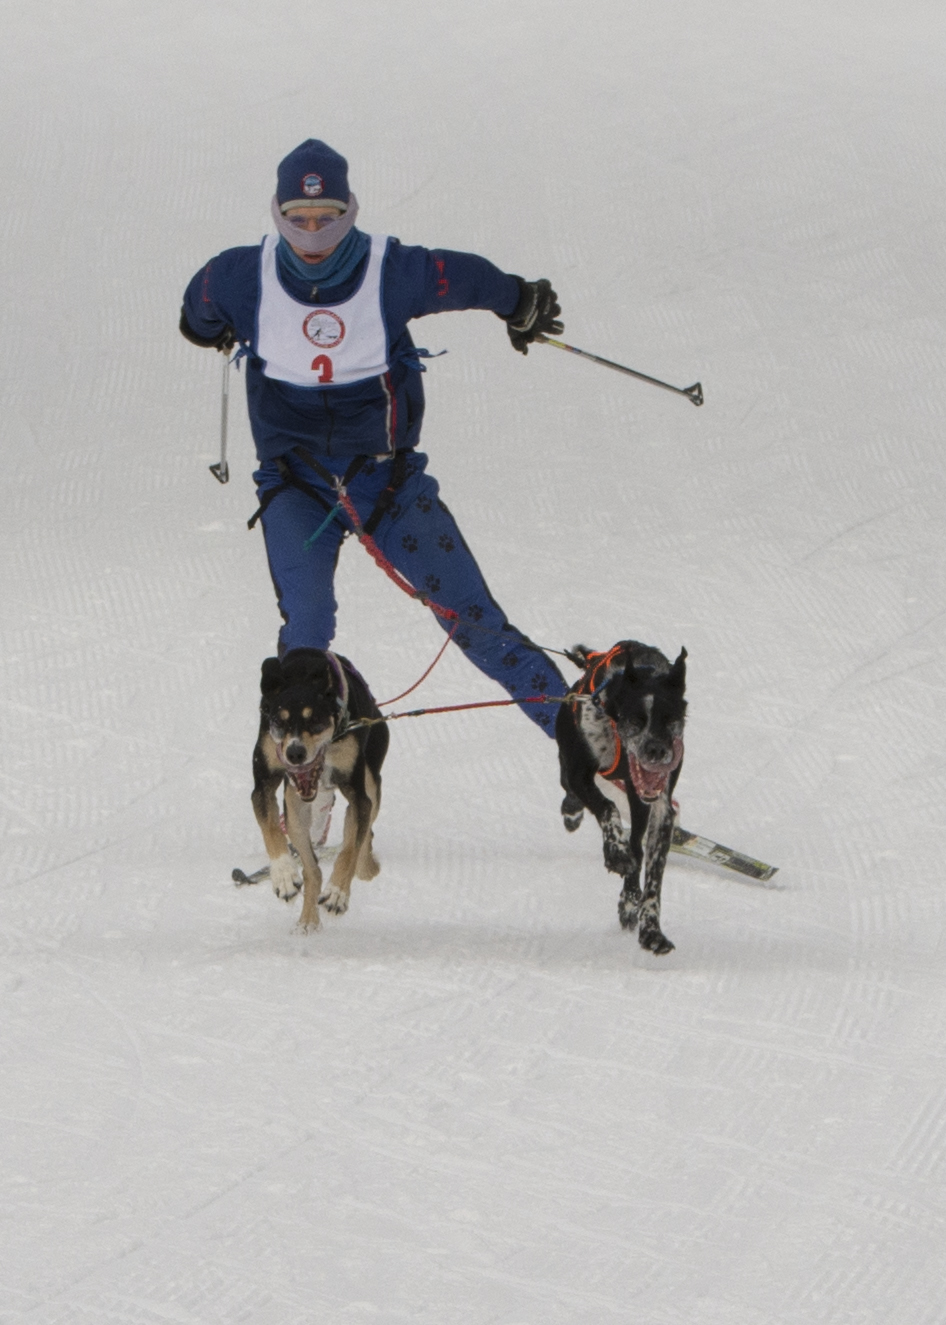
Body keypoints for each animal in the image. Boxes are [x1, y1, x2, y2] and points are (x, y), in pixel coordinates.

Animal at [250, 651, 386, 932]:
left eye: (314, 719)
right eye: (279, 720)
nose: (295, 752)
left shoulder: (358, 795)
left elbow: (349, 850)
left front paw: (337, 893)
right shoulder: (262, 785)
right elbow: (271, 830)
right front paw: (283, 874)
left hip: (371, 781)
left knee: (365, 833)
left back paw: (366, 866)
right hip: (295, 813)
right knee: (313, 870)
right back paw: (308, 921)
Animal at [556, 641, 683, 954]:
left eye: (671, 719)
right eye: (635, 719)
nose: (656, 751)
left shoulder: (660, 807)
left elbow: (653, 877)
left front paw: (651, 930)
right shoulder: (579, 773)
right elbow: (607, 807)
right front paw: (614, 851)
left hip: (640, 803)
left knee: (636, 845)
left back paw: (629, 898)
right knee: (570, 788)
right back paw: (573, 811)